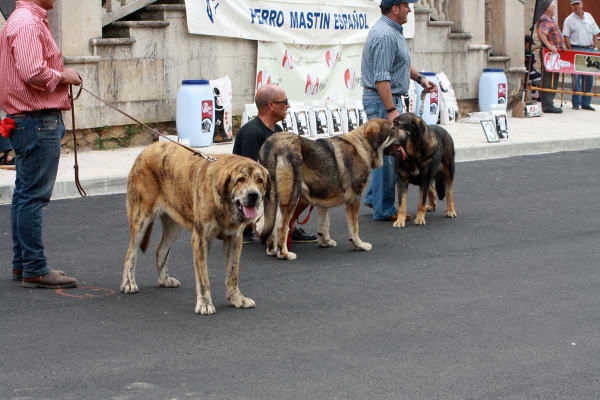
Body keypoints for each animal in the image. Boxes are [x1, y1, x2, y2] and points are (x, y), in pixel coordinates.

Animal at [120, 142, 270, 314]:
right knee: (131, 251)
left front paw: (236, 298)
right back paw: (128, 282)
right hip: (141, 218)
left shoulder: (234, 240)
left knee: (161, 250)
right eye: (241, 179)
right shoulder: (201, 239)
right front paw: (205, 303)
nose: (253, 195)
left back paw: (164, 280)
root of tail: (147, 148)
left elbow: (233, 273)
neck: (224, 204)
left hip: (173, 226)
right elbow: (203, 277)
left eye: (260, 180)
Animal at [258, 117, 408, 260]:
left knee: (271, 225)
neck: (363, 145)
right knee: (281, 227)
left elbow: (324, 224)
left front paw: (325, 242)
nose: (409, 134)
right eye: (393, 128)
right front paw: (359, 245)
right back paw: (284, 254)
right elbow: (354, 227)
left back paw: (272, 250)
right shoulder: (353, 199)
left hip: (274, 200)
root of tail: (273, 144)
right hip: (293, 196)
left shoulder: (323, 199)